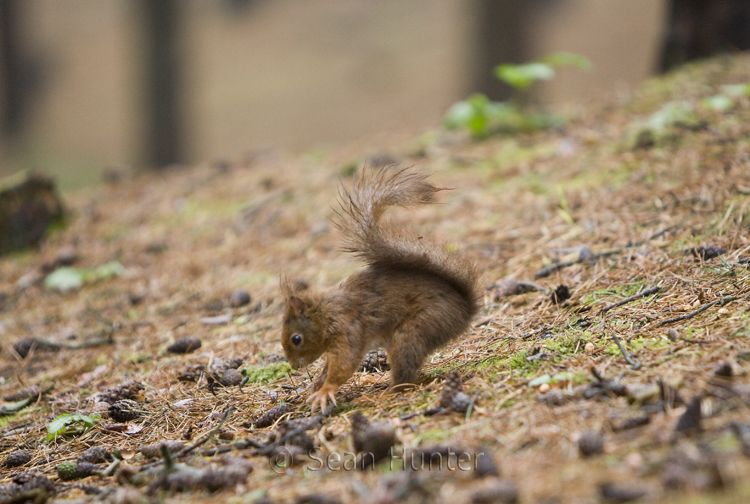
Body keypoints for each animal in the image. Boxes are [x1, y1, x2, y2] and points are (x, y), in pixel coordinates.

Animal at [280, 167, 481, 412]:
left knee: (405, 375)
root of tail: (465, 310)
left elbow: (344, 365)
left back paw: (388, 393)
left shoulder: (348, 331)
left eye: (296, 339)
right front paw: (317, 383)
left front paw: (325, 391)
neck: (325, 314)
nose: (293, 366)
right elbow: (328, 366)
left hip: (415, 331)